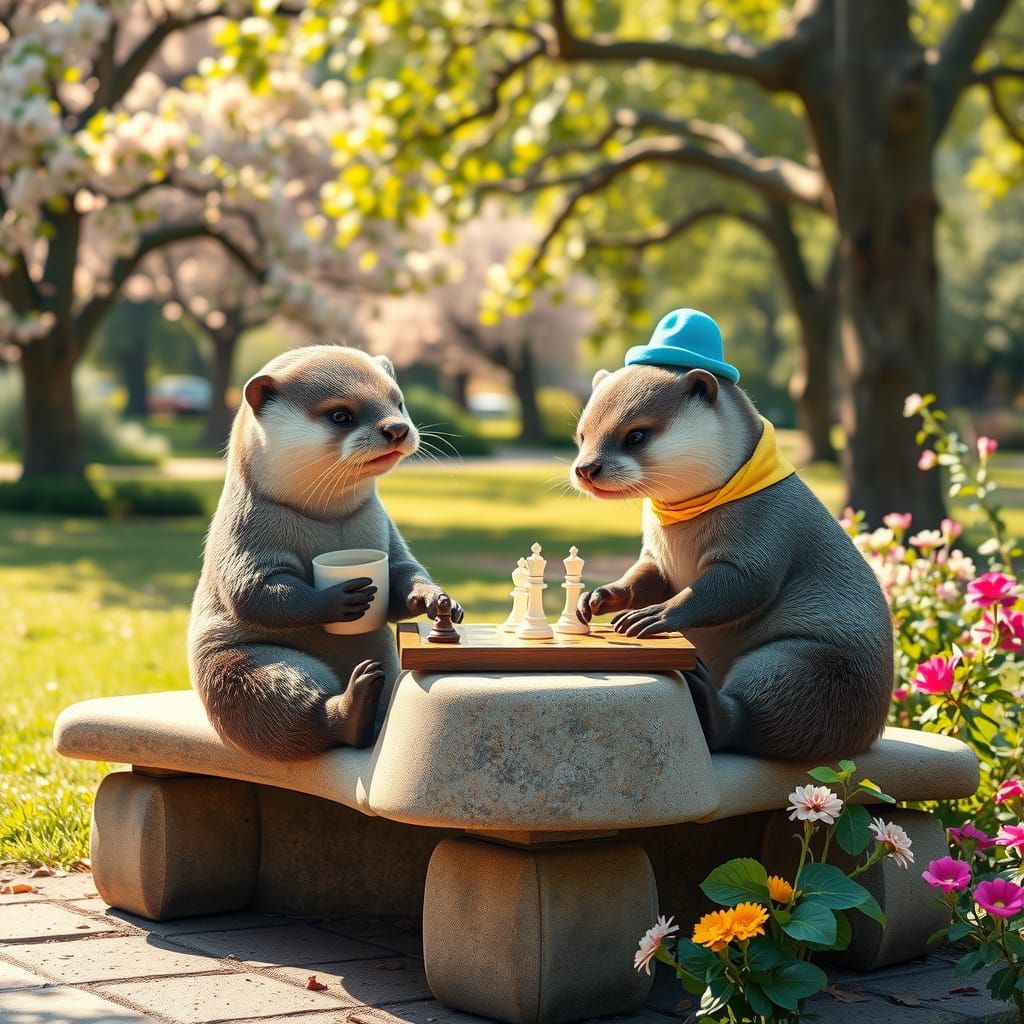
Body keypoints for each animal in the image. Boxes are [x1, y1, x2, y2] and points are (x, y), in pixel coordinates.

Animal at [188, 345, 461, 762]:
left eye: (398, 402)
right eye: (340, 415)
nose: (397, 429)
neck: (328, 517)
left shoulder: (387, 534)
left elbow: (404, 574)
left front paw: (436, 600)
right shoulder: (244, 531)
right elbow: (257, 592)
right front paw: (338, 599)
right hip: (238, 667)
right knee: (290, 709)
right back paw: (353, 704)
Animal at [571, 359, 893, 762]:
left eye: (636, 436)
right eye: (582, 436)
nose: (586, 468)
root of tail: (871, 732)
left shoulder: (767, 526)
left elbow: (737, 586)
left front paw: (657, 615)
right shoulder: (656, 556)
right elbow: (645, 576)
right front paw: (598, 598)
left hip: (804, 664)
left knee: (754, 721)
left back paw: (710, 701)